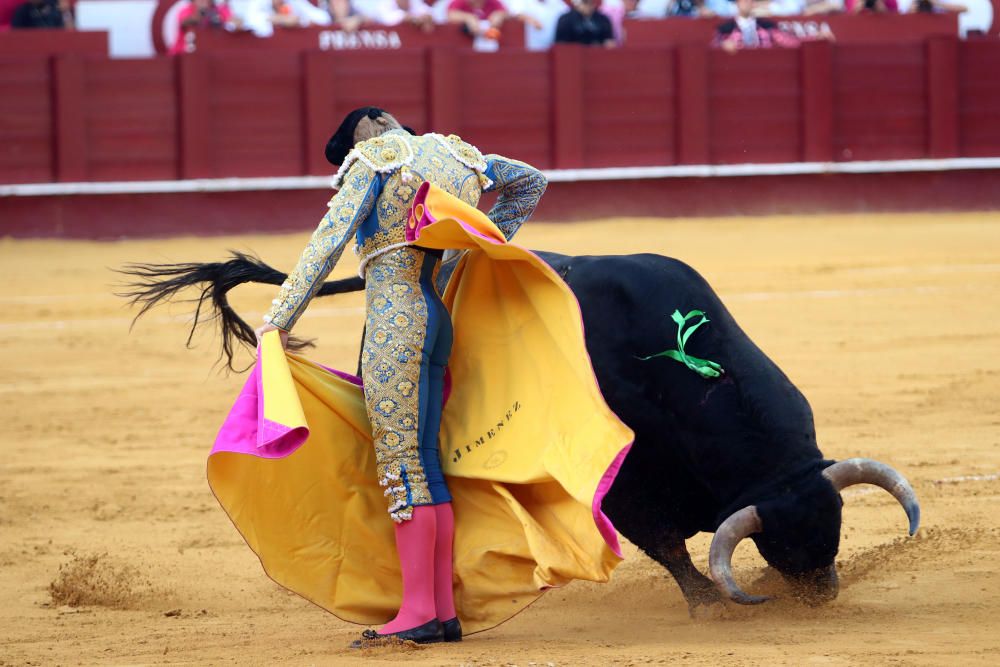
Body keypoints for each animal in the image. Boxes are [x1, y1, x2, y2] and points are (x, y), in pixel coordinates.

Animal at [123, 250, 920, 616]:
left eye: (837, 524)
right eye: (782, 542)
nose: (822, 594)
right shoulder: (627, 494)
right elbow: (669, 550)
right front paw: (707, 608)